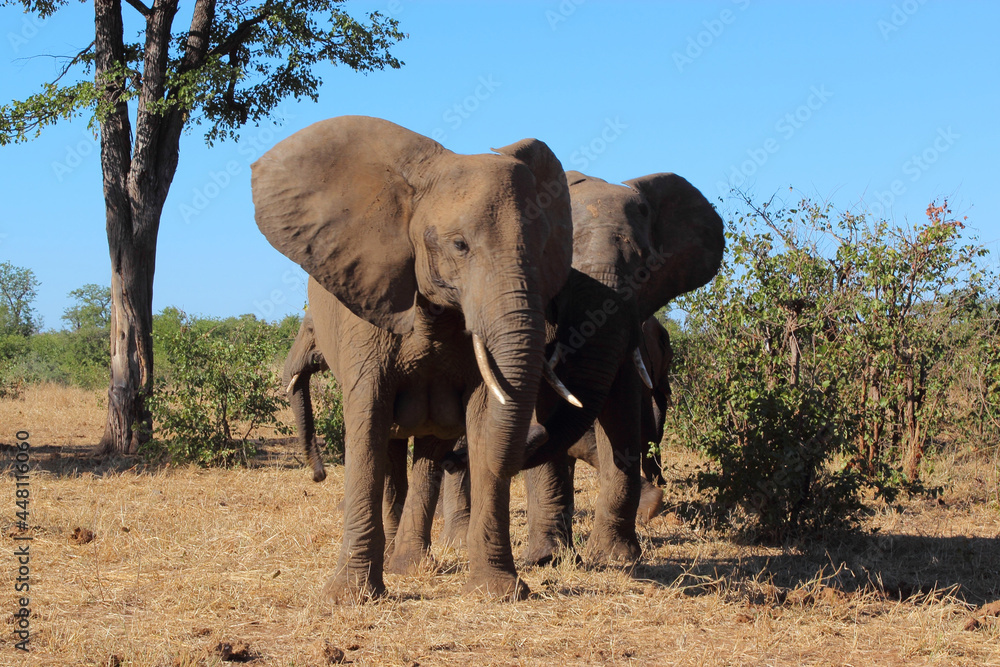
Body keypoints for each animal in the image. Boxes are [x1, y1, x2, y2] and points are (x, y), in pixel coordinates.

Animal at [252, 115, 575, 601]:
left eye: (541, 249)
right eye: (459, 245)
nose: (318, 476)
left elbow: (486, 413)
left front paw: (500, 593)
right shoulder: (367, 308)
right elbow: (366, 419)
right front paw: (348, 599)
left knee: (426, 456)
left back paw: (408, 565)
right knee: (390, 454)